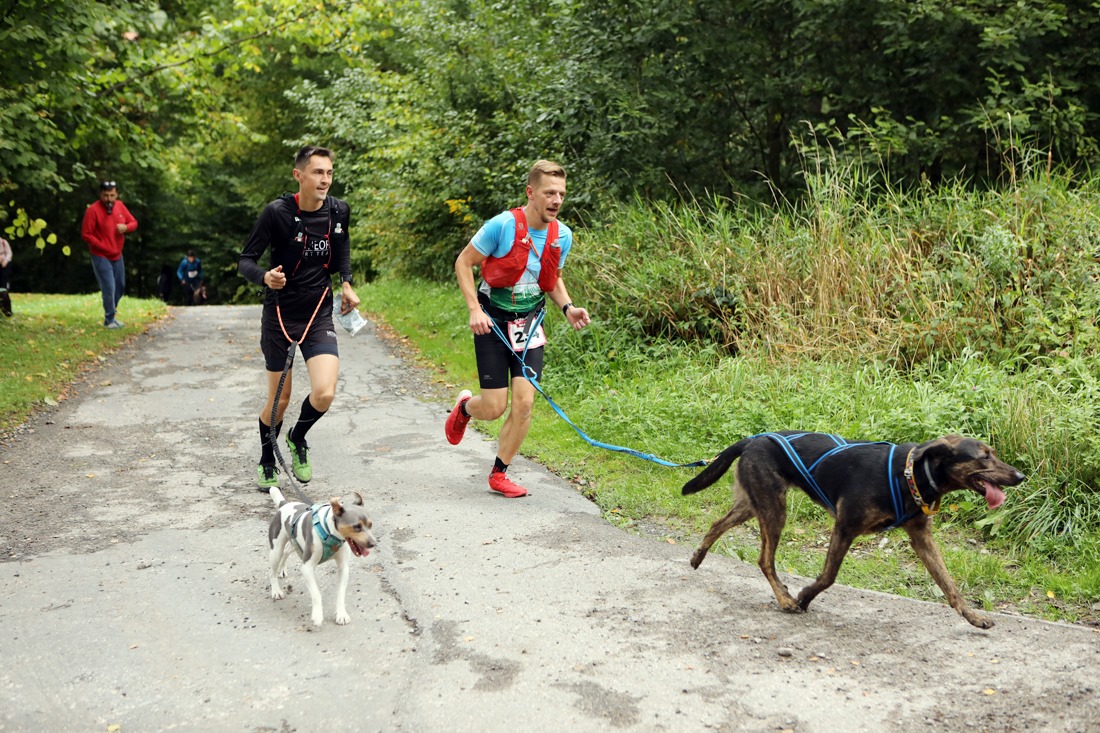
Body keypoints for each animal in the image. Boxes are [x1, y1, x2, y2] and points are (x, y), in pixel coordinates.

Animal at [268, 486, 377, 627]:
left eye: (370, 524)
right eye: (356, 526)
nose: (374, 543)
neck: (329, 531)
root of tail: (284, 504)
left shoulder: (343, 568)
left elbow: (340, 593)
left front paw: (341, 614)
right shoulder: (307, 568)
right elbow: (316, 594)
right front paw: (317, 615)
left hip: (294, 543)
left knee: (286, 551)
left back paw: (282, 570)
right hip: (276, 550)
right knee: (272, 571)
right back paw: (276, 591)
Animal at [682, 431, 1025, 629]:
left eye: (993, 454)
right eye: (983, 457)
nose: (1021, 476)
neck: (911, 474)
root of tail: (752, 440)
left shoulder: (921, 536)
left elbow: (948, 584)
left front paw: (972, 616)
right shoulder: (845, 527)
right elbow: (828, 577)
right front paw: (804, 596)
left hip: (754, 504)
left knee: (717, 523)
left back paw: (698, 556)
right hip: (773, 509)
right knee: (764, 560)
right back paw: (785, 600)